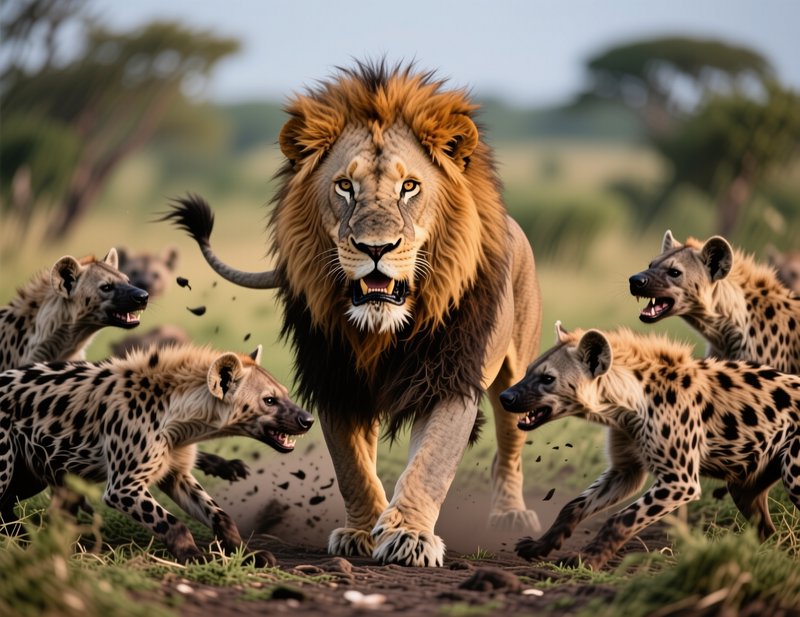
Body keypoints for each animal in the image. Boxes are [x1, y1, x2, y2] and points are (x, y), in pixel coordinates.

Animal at [163, 61, 543, 567]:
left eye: (409, 187)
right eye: (345, 186)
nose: (375, 248)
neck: (383, 331)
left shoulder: (450, 380)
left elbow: (431, 463)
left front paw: (408, 536)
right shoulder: (336, 381)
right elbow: (351, 467)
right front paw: (362, 531)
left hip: (515, 373)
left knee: (510, 440)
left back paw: (510, 516)